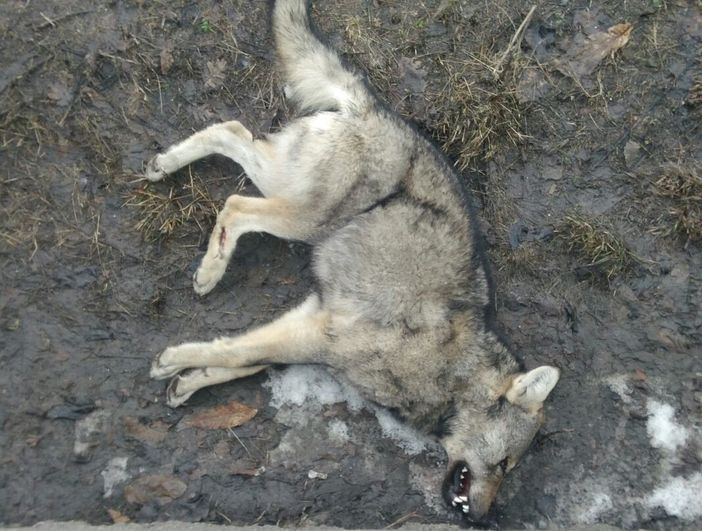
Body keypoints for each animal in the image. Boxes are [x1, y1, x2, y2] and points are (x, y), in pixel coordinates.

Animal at [146, 0, 560, 523]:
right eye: (505, 464)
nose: (482, 520)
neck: (455, 375)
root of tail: (378, 109)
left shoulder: (312, 323)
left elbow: (243, 359)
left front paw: (189, 380)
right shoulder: (322, 336)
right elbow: (237, 353)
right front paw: (173, 361)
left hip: (285, 185)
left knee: (232, 132)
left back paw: (165, 165)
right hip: (302, 219)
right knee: (237, 205)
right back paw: (211, 267)